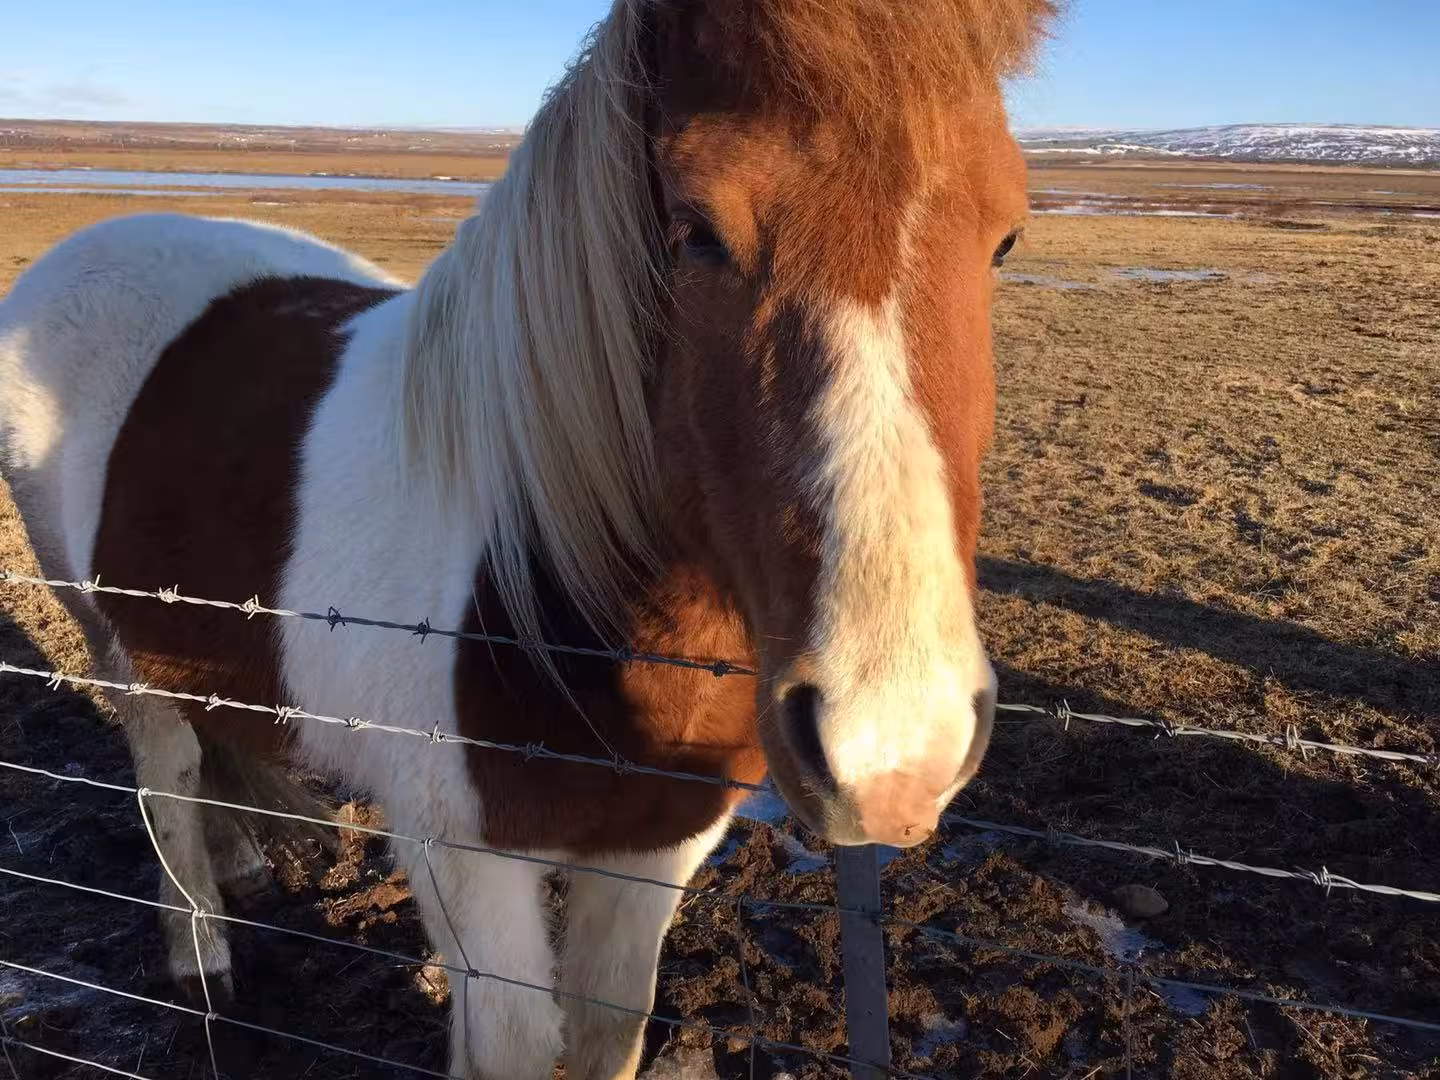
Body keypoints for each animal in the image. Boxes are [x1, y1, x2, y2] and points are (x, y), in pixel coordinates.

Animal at [0, 1, 1053, 1076]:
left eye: (1007, 236)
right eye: (695, 229)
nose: (892, 752)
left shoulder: (656, 850)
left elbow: (604, 1033)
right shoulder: (464, 860)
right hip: (110, 632)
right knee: (166, 774)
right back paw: (201, 956)